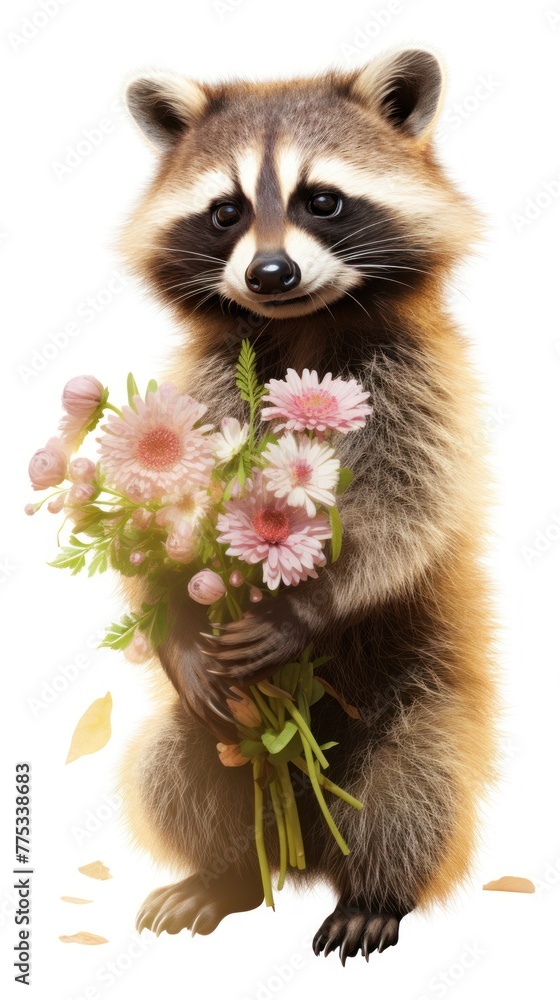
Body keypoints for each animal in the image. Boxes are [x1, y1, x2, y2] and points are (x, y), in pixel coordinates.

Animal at [118, 50, 498, 963]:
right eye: (225, 213)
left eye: (319, 200)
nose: (270, 274)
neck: (304, 327)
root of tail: (308, 851)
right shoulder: (209, 383)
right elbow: (155, 524)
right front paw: (174, 616)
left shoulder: (421, 383)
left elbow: (410, 511)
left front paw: (310, 604)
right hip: (224, 742)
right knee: (176, 765)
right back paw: (230, 873)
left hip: (419, 703)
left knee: (416, 782)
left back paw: (374, 890)